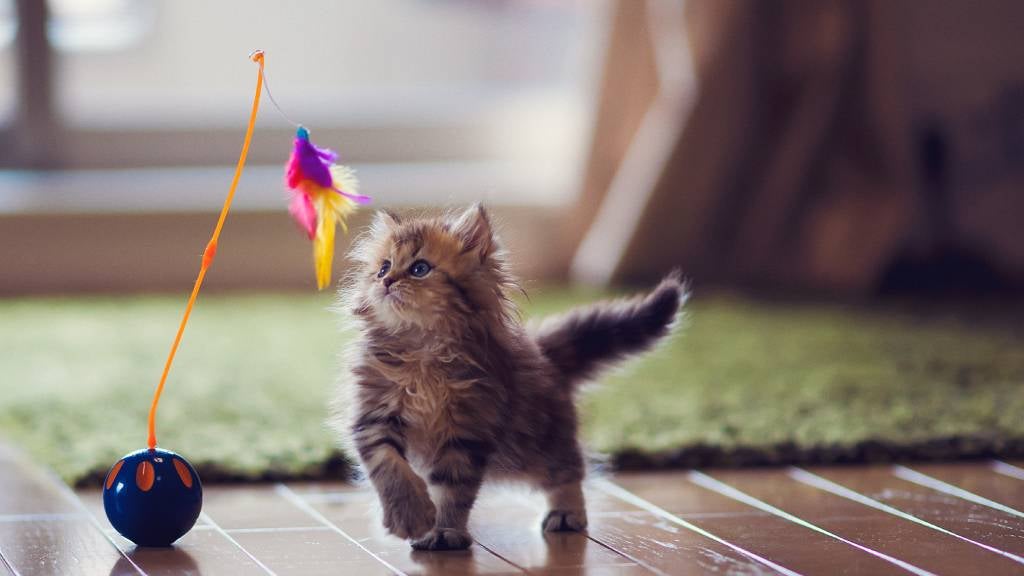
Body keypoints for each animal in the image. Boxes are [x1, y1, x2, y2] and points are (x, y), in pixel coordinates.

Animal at [335, 203, 684, 549]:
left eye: (420, 268)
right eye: (383, 268)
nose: (386, 282)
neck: (422, 350)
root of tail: (542, 352)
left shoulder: (468, 431)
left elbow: (452, 489)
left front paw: (443, 530)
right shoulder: (373, 415)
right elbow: (389, 467)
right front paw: (411, 516)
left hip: (536, 443)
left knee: (568, 471)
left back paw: (566, 513)